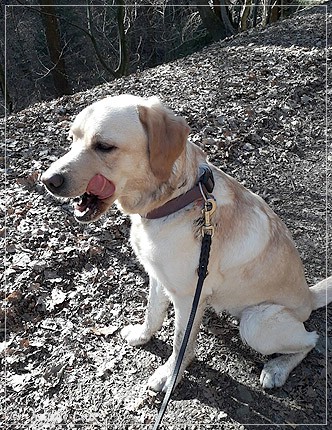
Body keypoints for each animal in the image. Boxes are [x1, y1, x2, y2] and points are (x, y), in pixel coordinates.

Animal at [42, 95, 332, 394]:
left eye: (104, 146)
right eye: (72, 138)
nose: (47, 180)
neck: (176, 200)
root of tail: (309, 296)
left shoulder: (186, 296)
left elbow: (181, 343)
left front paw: (168, 376)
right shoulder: (157, 277)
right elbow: (153, 313)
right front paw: (142, 335)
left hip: (256, 323)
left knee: (311, 340)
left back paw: (277, 368)